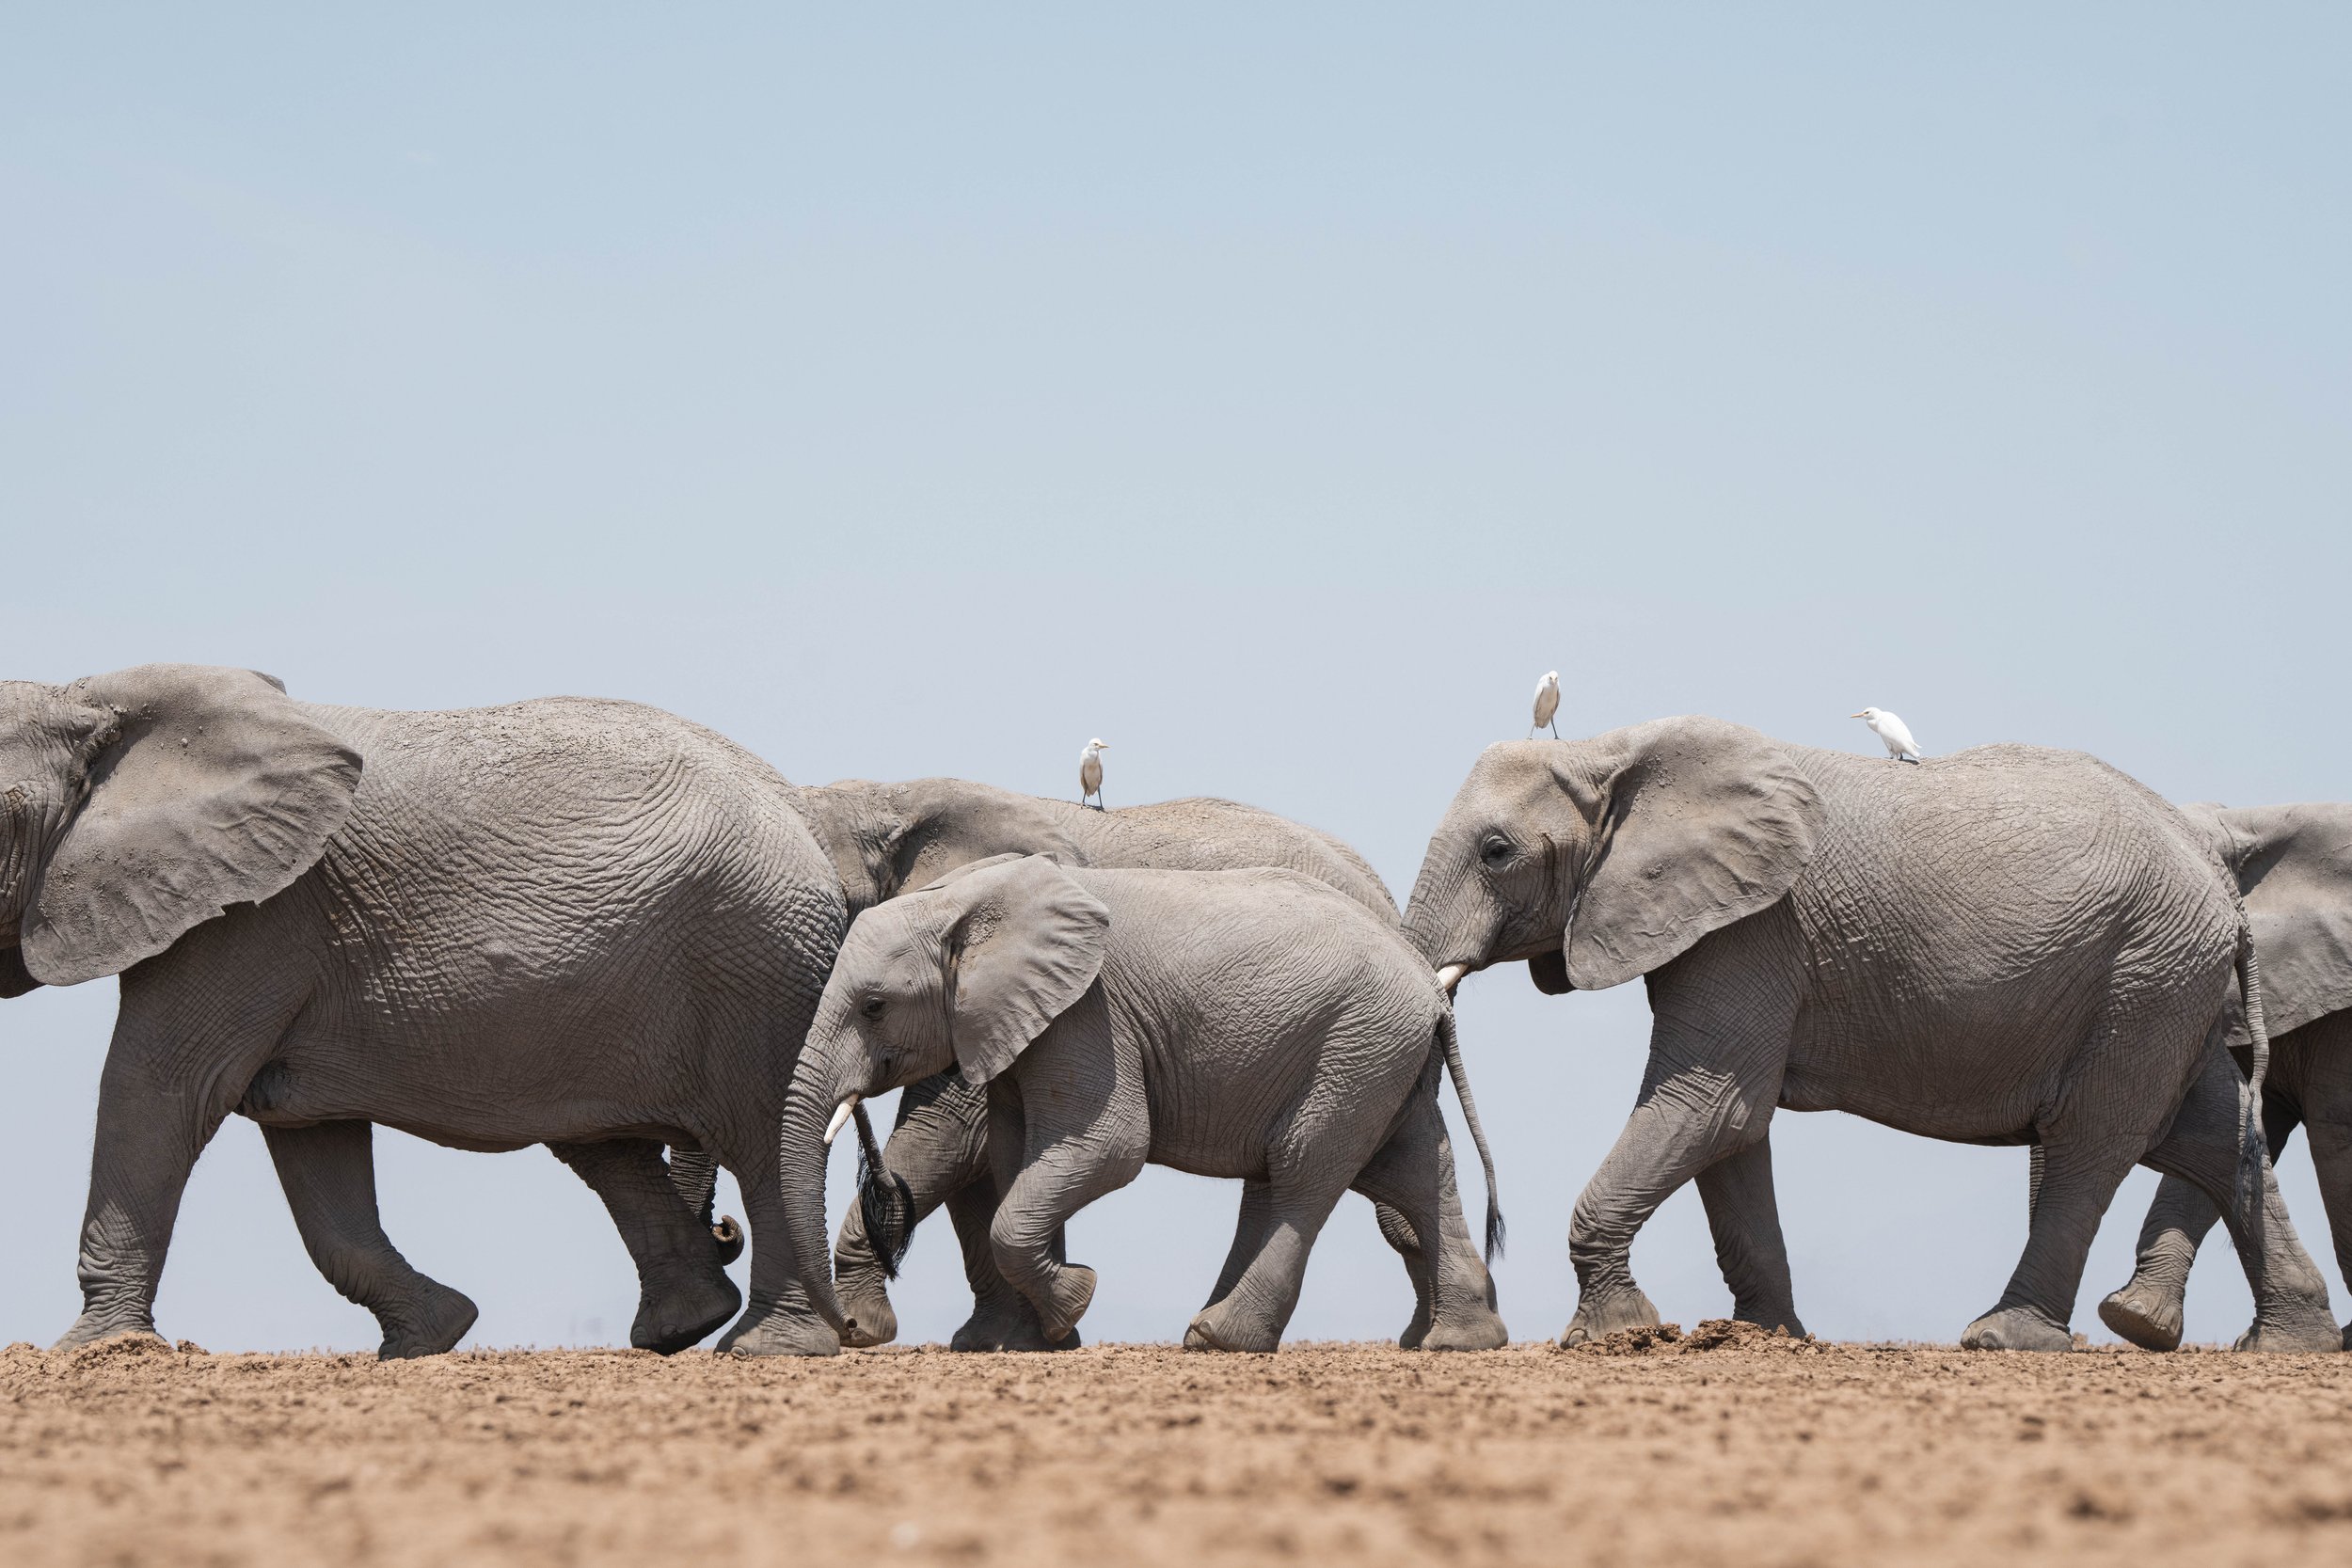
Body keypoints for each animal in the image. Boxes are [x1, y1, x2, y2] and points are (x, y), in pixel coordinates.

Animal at [1, 664, 844, 1357]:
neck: (87, 699)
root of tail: (798, 807)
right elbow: (311, 1141)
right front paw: (431, 1337)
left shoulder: (253, 918)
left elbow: (157, 1089)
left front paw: (88, 1352)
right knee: (608, 1147)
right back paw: (685, 1325)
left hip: (754, 961)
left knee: (763, 1140)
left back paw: (769, 1347)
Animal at [774, 776, 1504, 1352]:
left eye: (874, 1006)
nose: (844, 1328)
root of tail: (1426, 982)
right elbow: (1012, 1157)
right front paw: (1035, 1336)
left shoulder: (1087, 1015)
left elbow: (1099, 1147)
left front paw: (1069, 1302)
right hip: (1377, 1051)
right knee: (1408, 1168)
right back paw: (1459, 1340)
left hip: (1355, 1046)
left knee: (1303, 1169)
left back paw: (1219, 1338)